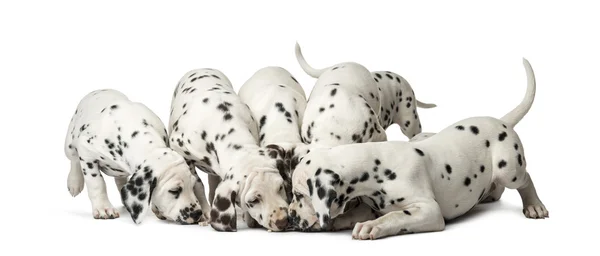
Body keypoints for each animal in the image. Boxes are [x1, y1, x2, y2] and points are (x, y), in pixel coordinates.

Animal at [63, 89, 204, 224]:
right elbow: (96, 182)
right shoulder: (86, 150)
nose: (198, 214)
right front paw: (103, 207)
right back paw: (74, 182)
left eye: (192, 186)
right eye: (174, 191)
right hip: (70, 144)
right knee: (74, 159)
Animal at [168, 68, 292, 232]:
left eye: (280, 187)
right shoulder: (182, 152)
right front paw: (206, 213)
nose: (283, 221)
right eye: (253, 200)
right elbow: (198, 185)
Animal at [290, 58, 548, 240]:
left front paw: (371, 227)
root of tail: (500, 121)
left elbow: (396, 216)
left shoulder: (429, 210)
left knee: (526, 180)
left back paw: (534, 205)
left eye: (300, 195)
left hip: (510, 168)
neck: (375, 167)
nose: (291, 216)